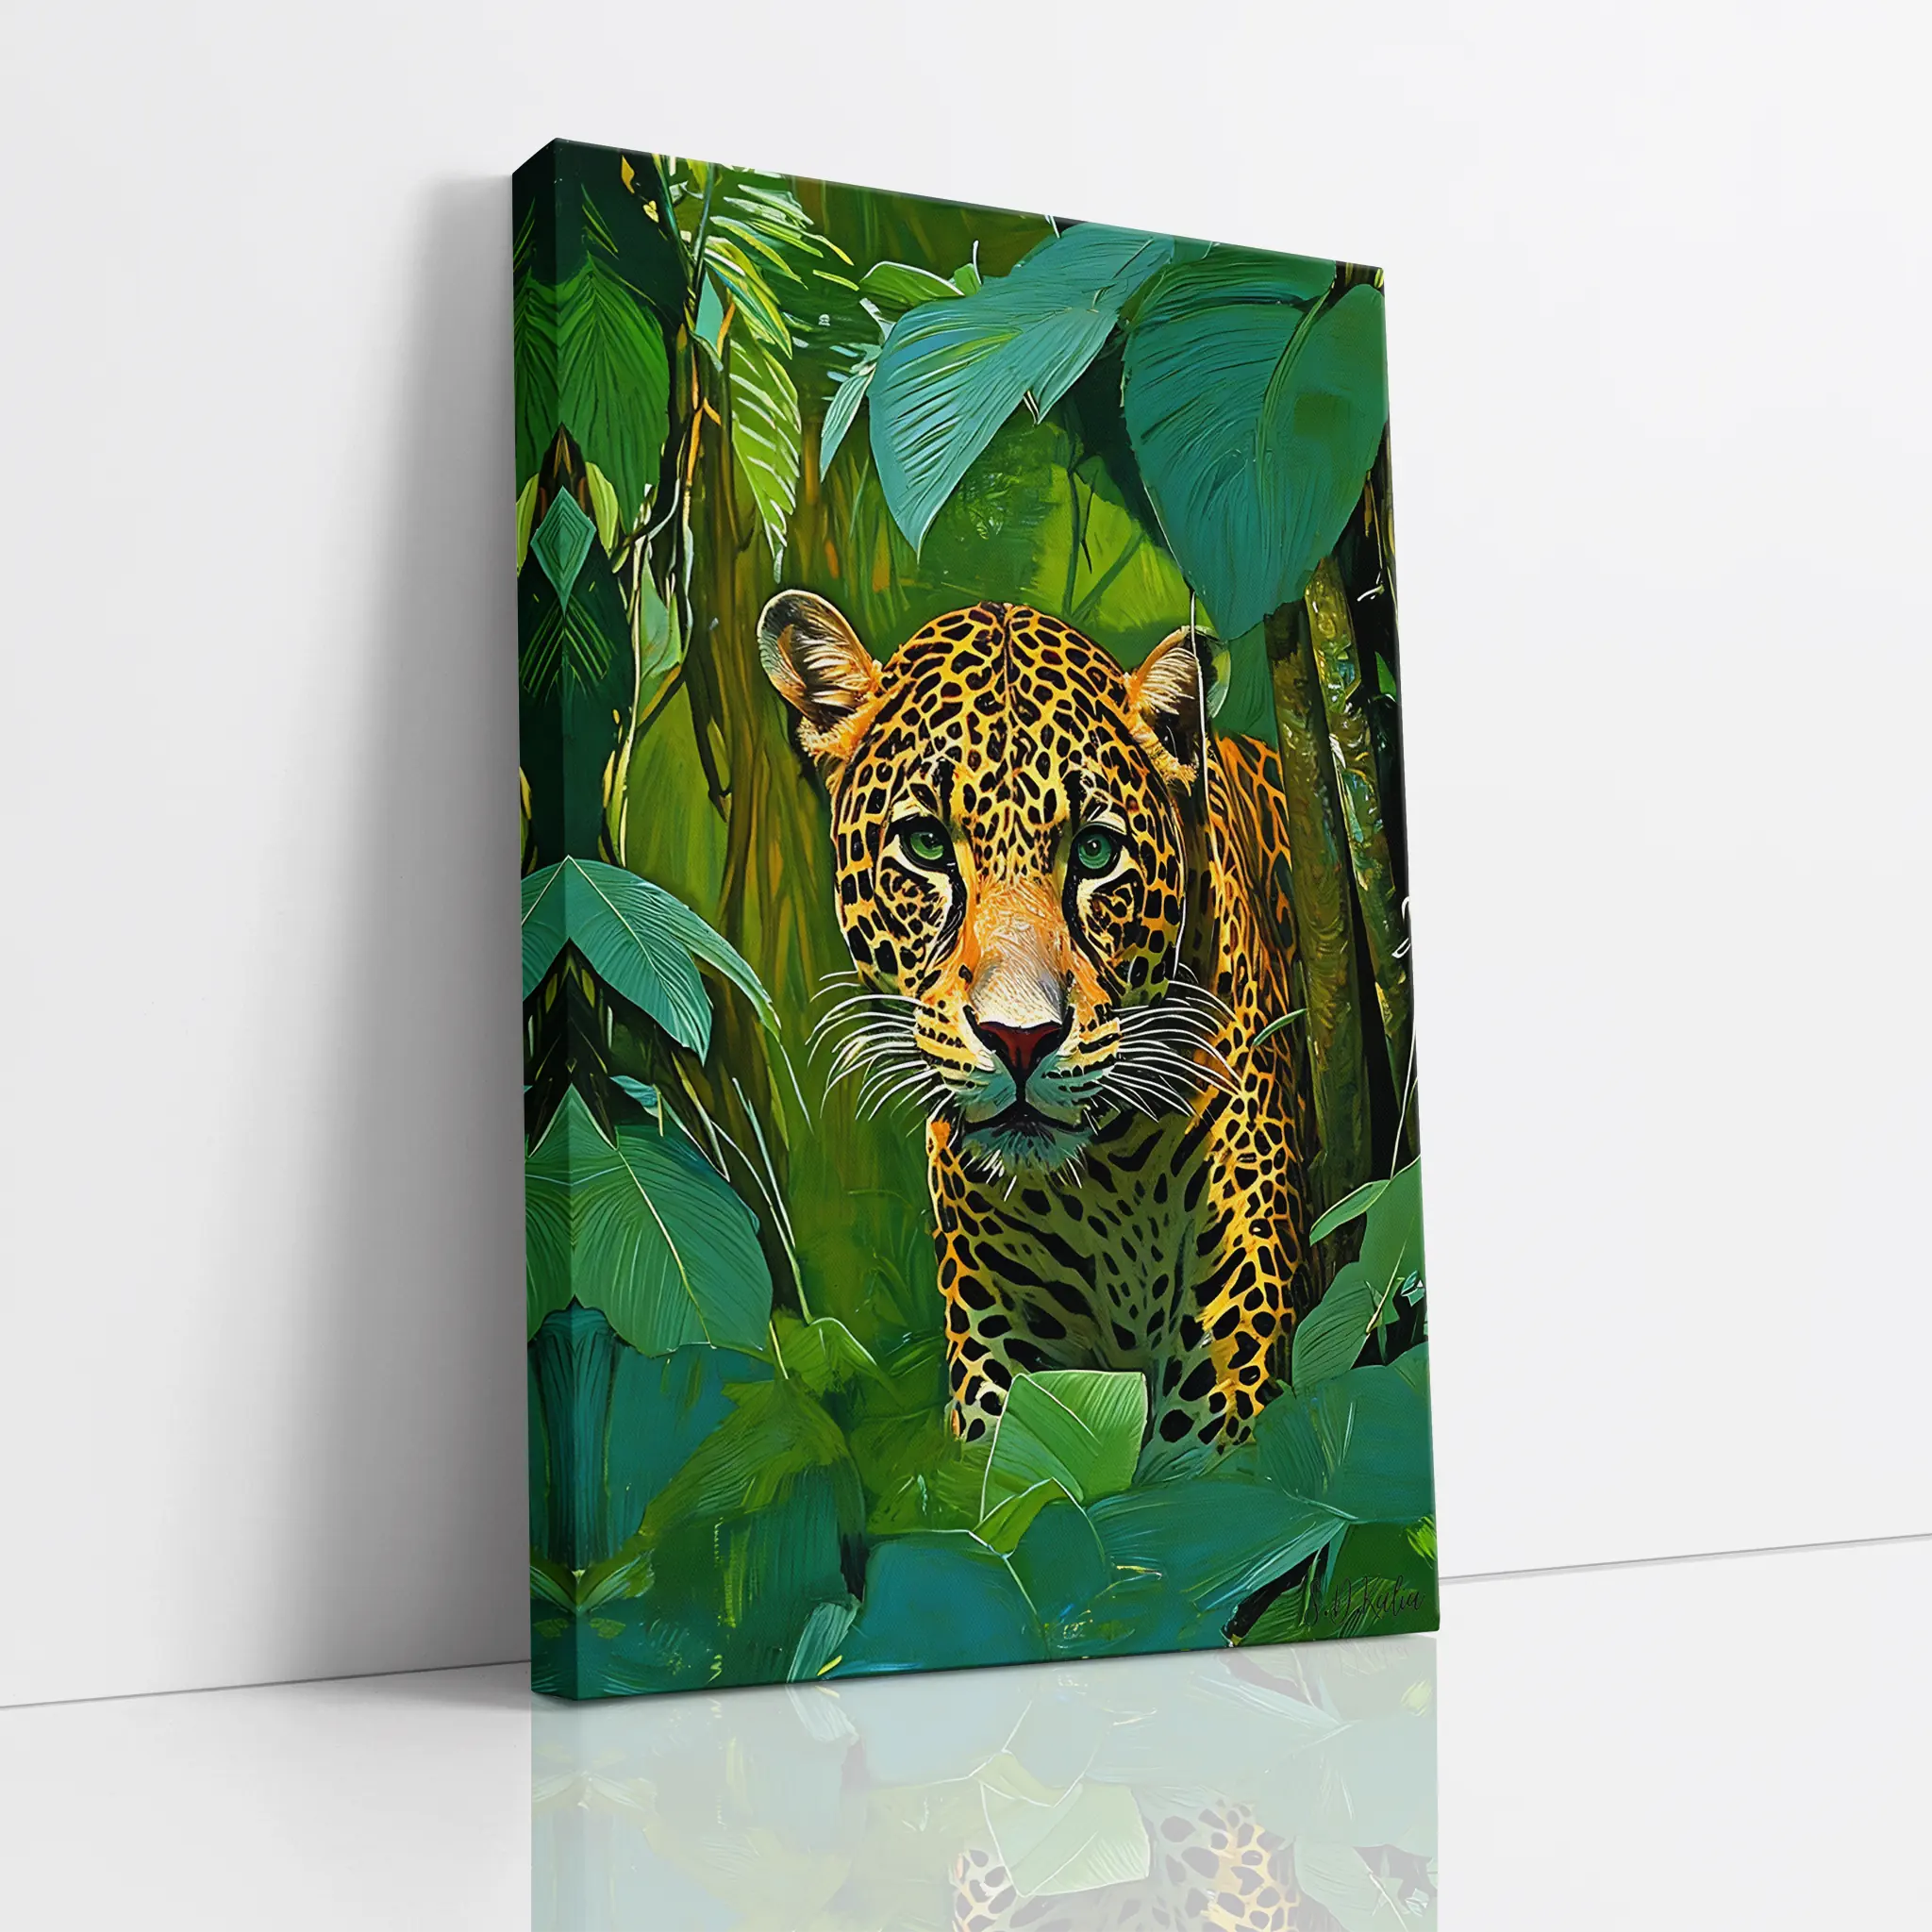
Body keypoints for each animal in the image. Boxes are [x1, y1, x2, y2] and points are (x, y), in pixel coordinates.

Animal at [760, 592, 1312, 1469]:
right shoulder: (1007, 1375)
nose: (1019, 1040)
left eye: (1094, 851)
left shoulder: (1226, 1386)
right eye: (926, 845)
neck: (1111, 1184)